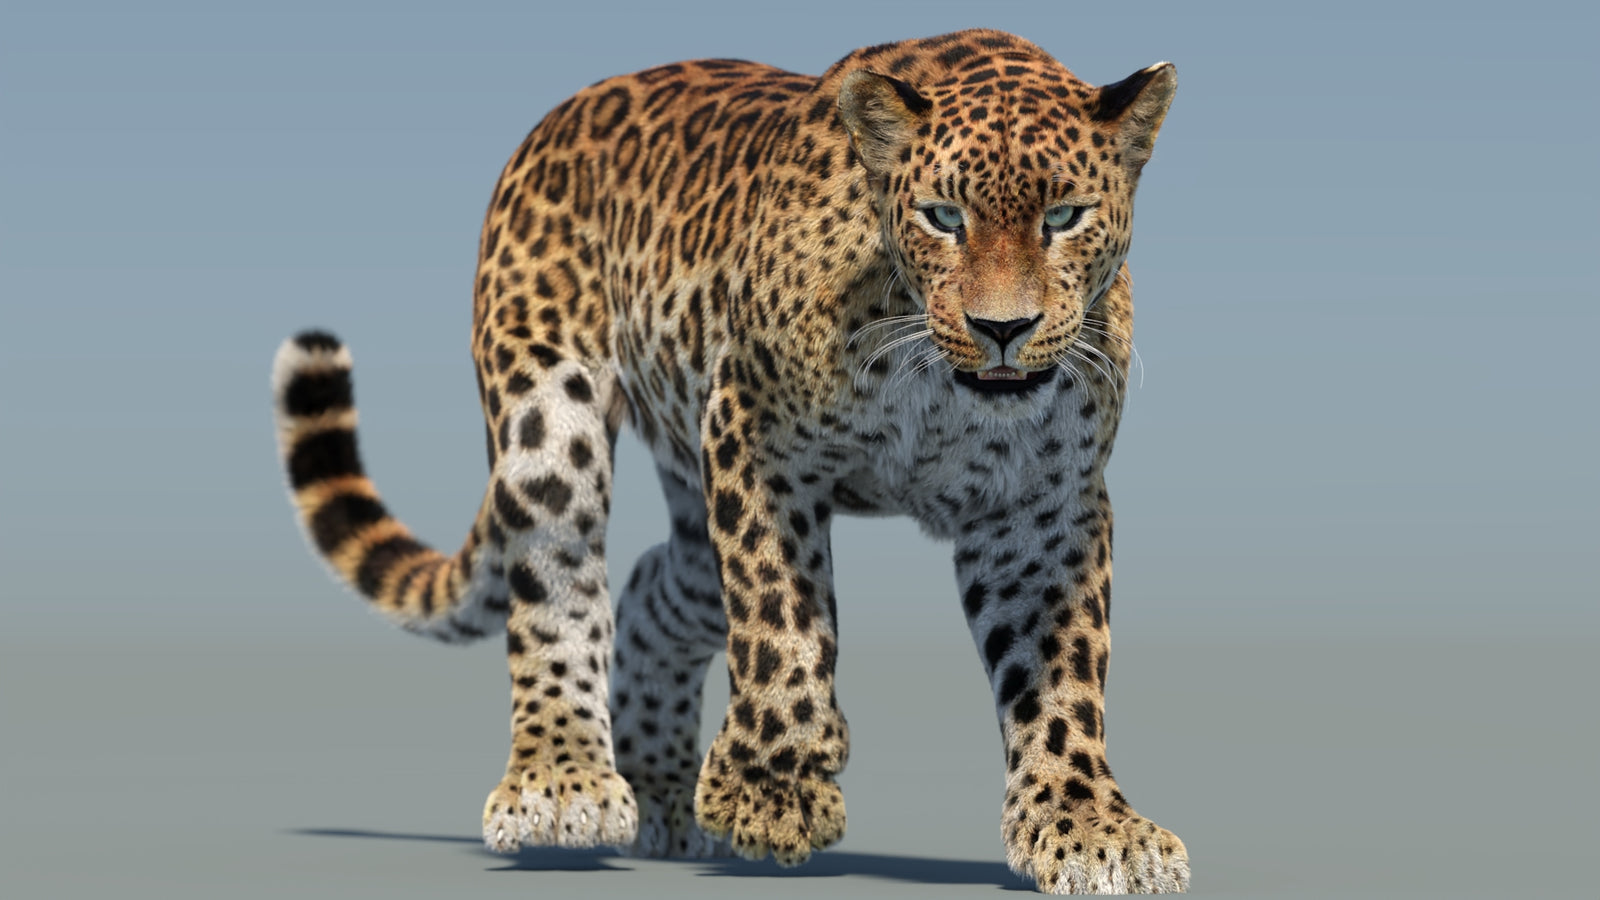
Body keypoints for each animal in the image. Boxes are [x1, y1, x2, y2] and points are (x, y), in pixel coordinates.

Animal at [270, 29, 1183, 894]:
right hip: (551, 415)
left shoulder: (1042, 505)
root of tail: (558, 117)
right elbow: (782, 620)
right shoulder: (757, 436)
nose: (1003, 328)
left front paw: (1088, 826)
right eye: (942, 217)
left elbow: (1060, 672)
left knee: (651, 589)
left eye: (1063, 217)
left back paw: (664, 797)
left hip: (693, 503)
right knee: (562, 587)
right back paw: (563, 782)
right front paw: (770, 795)